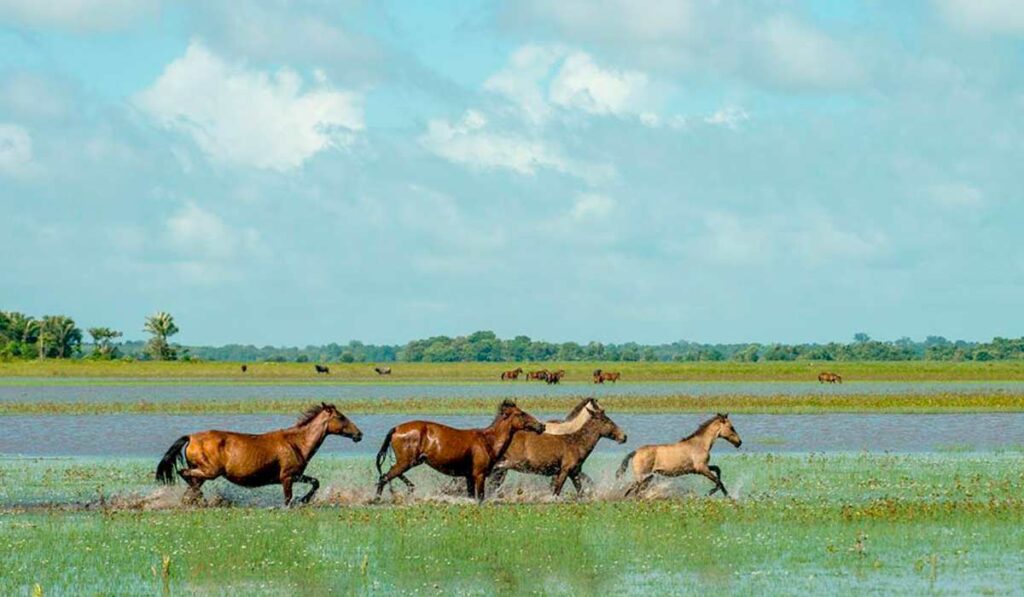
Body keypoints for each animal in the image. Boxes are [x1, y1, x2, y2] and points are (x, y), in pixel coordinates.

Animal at [151, 403, 360, 507]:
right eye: (340, 417)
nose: (359, 434)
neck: (297, 443)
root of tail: (191, 437)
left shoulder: (297, 475)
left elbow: (315, 482)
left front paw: (304, 500)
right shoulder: (287, 477)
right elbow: (288, 498)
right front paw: (299, 501)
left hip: (202, 472)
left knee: (190, 484)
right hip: (209, 471)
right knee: (184, 475)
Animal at [376, 399, 548, 501]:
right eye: (521, 413)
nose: (541, 426)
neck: (488, 441)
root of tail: (396, 428)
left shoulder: (468, 476)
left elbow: (471, 496)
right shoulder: (479, 475)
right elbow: (480, 497)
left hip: (410, 462)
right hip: (406, 462)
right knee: (384, 477)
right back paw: (377, 499)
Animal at [487, 399, 622, 497]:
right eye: (606, 420)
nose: (623, 436)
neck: (575, 441)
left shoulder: (572, 472)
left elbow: (580, 491)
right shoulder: (564, 471)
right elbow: (556, 490)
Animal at [614, 413, 745, 497]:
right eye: (731, 427)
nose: (739, 442)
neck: (700, 444)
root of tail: (635, 452)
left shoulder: (699, 468)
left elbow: (718, 470)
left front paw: (726, 495)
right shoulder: (701, 468)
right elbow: (718, 481)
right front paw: (710, 493)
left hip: (648, 477)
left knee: (632, 491)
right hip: (643, 477)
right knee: (633, 491)